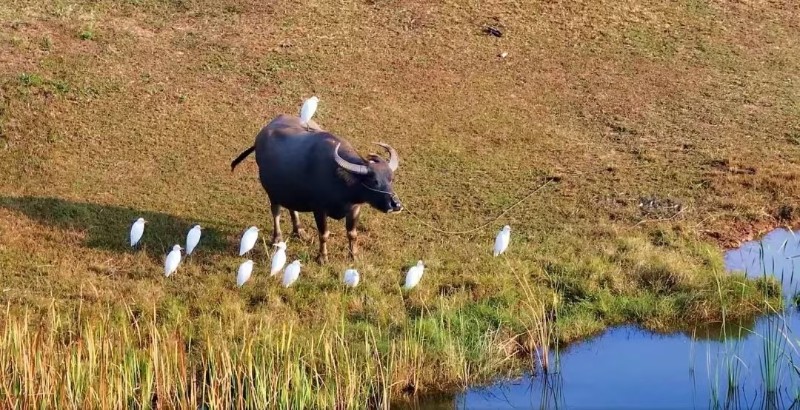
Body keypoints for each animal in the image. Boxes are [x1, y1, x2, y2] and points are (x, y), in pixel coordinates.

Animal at [231, 113, 406, 264]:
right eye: (374, 181)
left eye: (391, 179)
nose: (395, 204)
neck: (342, 181)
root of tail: (261, 136)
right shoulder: (319, 210)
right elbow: (324, 234)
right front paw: (322, 258)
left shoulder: (355, 209)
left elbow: (352, 234)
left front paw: (354, 256)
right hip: (272, 191)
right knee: (276, 212)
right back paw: (277, 238)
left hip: (290, 189)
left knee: (291, 208)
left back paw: (300, 231)